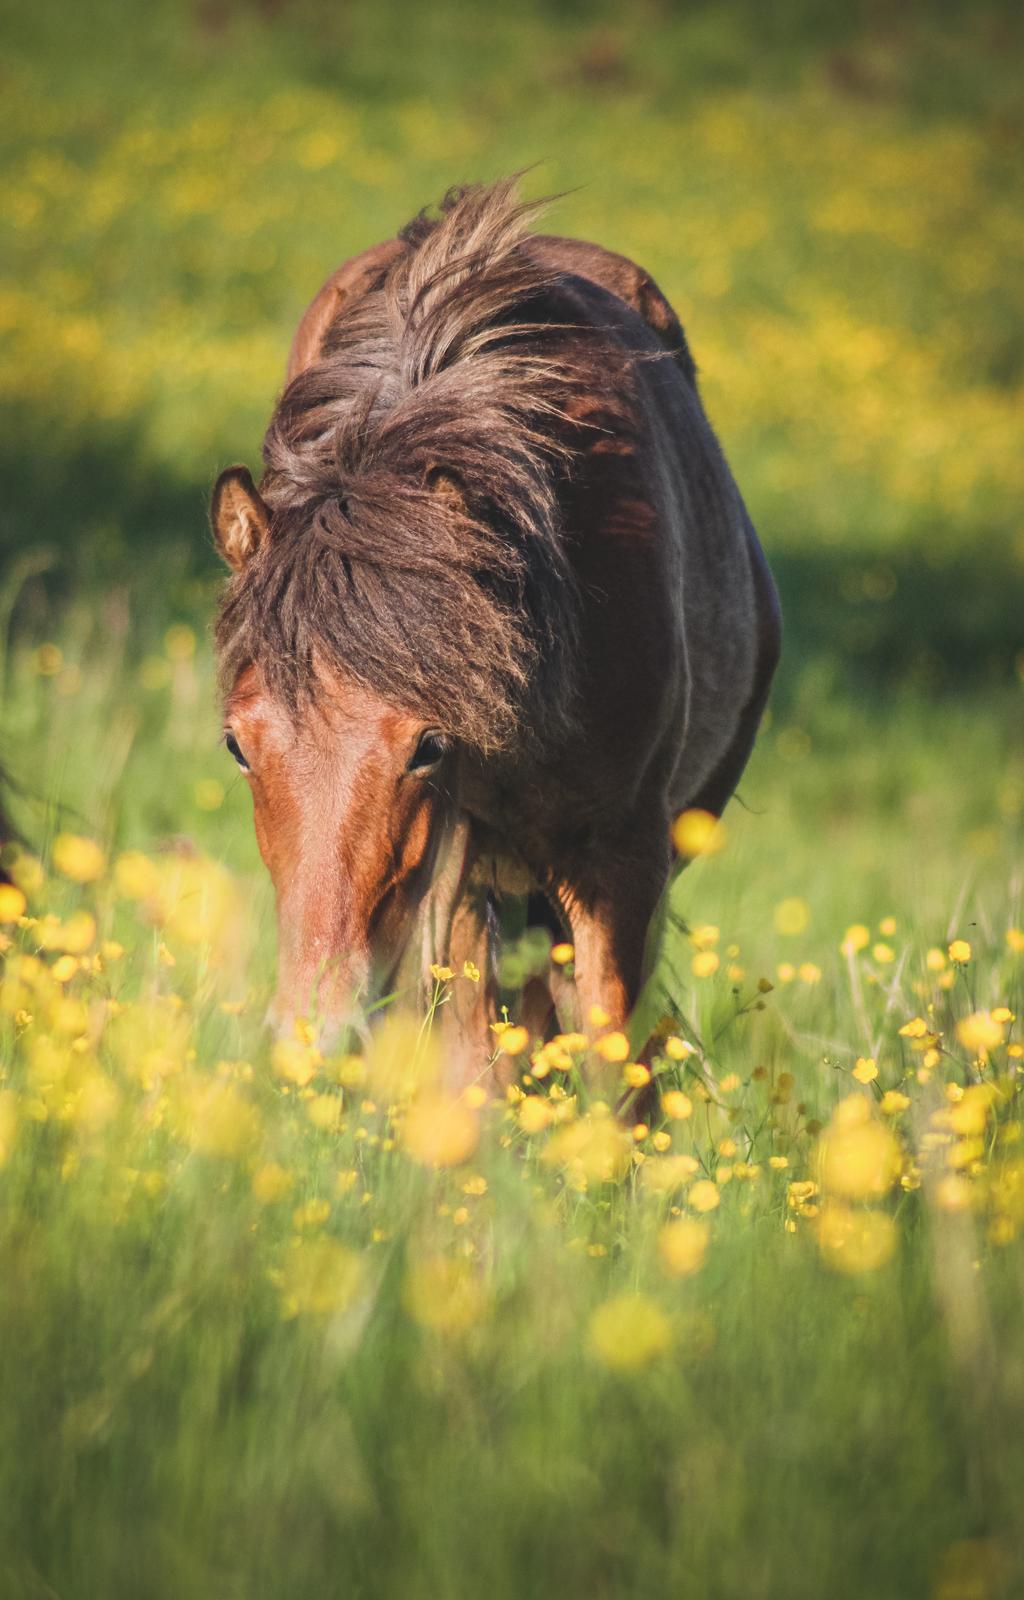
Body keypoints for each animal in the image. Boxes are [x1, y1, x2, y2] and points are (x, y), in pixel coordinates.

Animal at [211, 178, 780, 1088]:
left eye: (427, 746)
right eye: (237, 745)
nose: (313, 1037)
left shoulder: (622, 862)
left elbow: (613, 1064)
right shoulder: (462, 875)